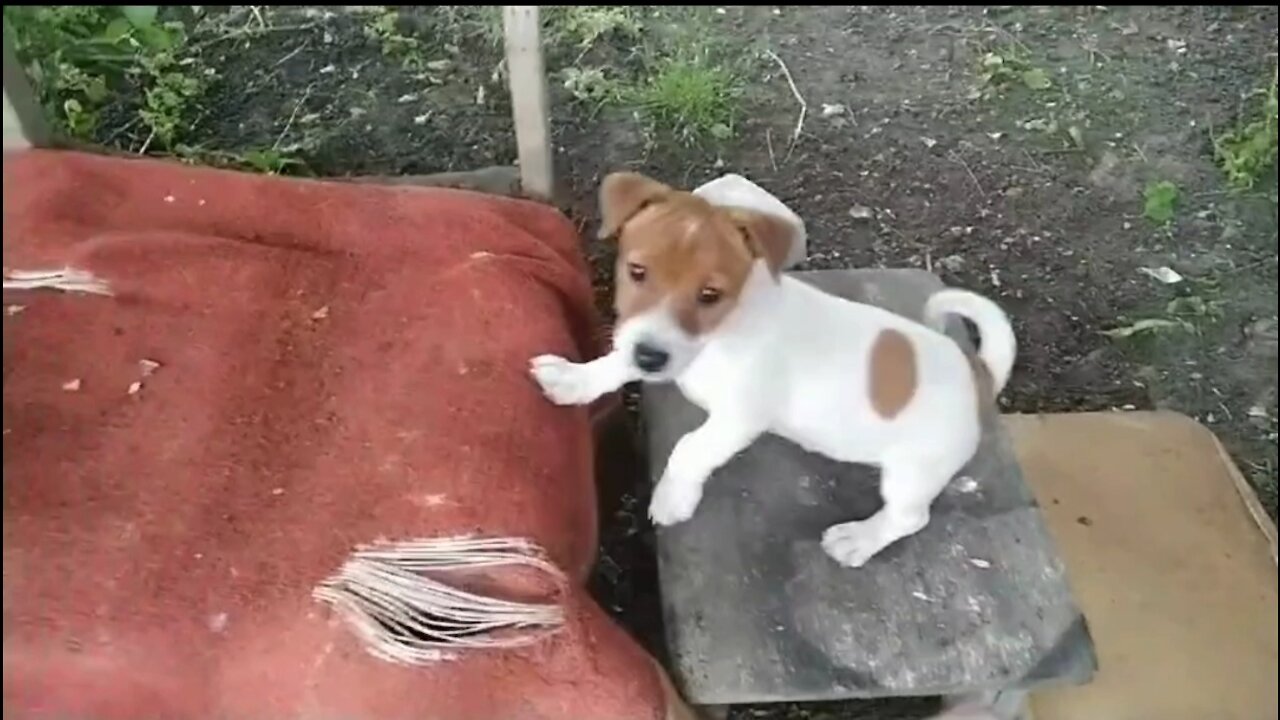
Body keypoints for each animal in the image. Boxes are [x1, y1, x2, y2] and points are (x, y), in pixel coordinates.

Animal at [524, 172, 1013, 566]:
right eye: (637, 271)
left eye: (710, 294)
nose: (649, 358)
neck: (721, 334)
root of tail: (979, 372)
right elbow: (612, 365)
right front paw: (574, 379)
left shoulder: (739, 419)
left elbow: (688, 449)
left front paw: (673, 498)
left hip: (915, 471)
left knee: (910, 517)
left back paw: (859, 540)